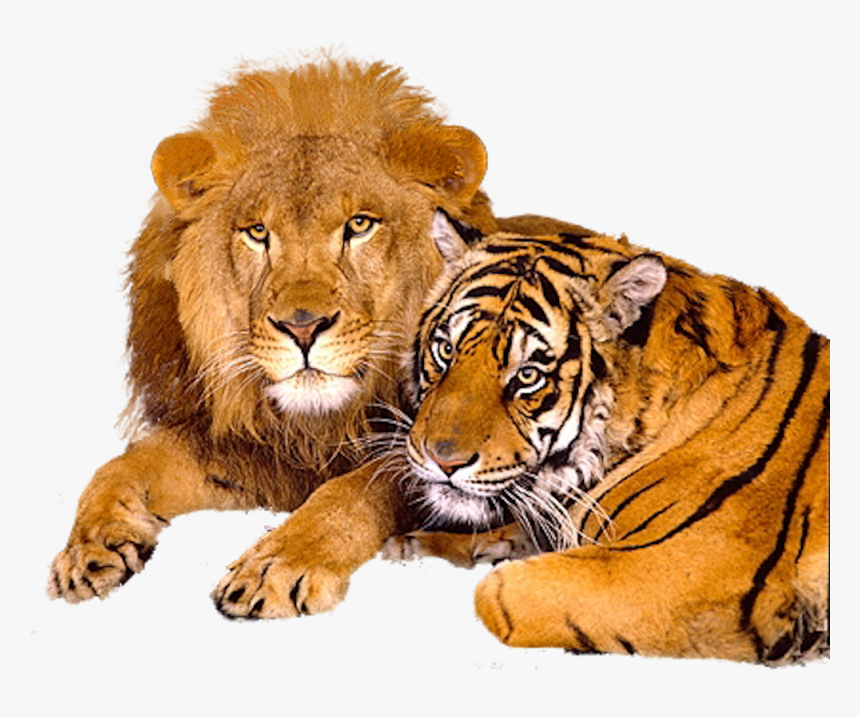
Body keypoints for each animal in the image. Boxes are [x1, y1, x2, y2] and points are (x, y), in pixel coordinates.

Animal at [47, 56, 590, 618]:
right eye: (257, 232)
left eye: (360, 224)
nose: (302, 326)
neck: (317, 426)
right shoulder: (247, 452)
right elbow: (120, 467)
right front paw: (87, 549)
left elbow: (352, 492)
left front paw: (277, 565)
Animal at [393, 210, 829, 665]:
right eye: (445, 350)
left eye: (528, 375)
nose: (442, 460)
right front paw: (415, 547)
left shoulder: (684, 572)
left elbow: (496, 595)